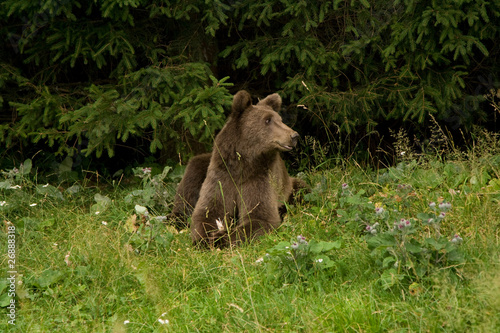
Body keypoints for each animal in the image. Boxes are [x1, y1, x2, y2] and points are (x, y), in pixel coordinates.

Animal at [172, 89, 306, 245]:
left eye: (280, 119)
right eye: (267, 120)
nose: (294, 136)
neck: (243, 165)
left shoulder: (260, 177)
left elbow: (259, 217)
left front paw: (220, 238)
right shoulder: (222, 174)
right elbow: (207, 211)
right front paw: (204, 238)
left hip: (289, 187)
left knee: (301, 190)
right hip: (200, 165)